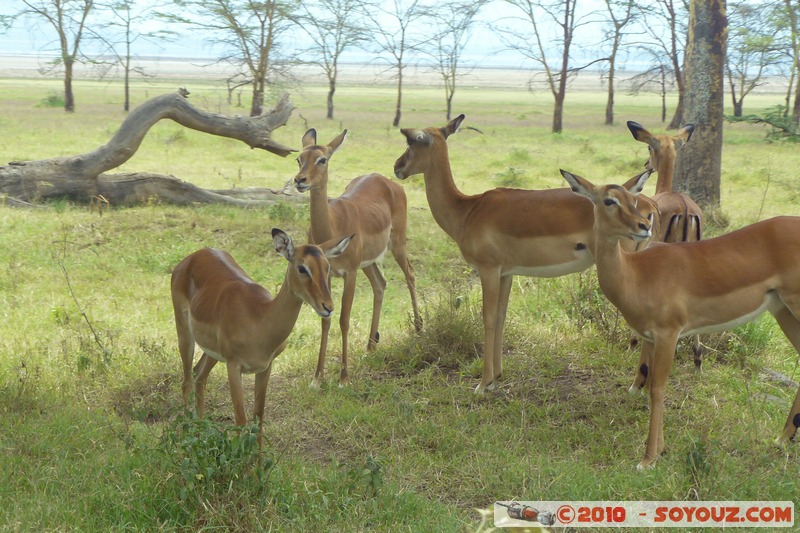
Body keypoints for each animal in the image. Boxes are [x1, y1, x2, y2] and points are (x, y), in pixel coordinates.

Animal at [171, 229, 352, 442]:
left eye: (327, 266)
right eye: (302, 268)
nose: (328, 307)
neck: (259, 320)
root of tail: (193, 256)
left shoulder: (265, 368)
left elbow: (258, 418)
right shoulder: (234, 367)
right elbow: (241, 420)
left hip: (212, 352)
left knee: (199, 377)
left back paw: (200, 435)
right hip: (184, 334)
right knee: (186, 382)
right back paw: (185, 436)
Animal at [294, 128, 422, 389]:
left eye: (322, 159)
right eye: (298, 158)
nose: (300, 180)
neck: (332, 226)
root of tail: (389, 182)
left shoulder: (350, 273)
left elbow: (344, 319)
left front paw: (343, 378)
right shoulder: (326, 274)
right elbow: (325, 320)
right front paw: (317, 378)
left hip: (397, 245)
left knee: (410, 274)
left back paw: (418, 328)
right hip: (369, 262)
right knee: (380, 284)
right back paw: (371, 345)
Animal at [393, 114, 653, 393]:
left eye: (412, 142)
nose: (398, 166)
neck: (467, 210)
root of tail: (648, 210)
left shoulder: (488, 270)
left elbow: (488, 318)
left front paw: (482, 384)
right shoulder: (506, 273)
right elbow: (501, 317)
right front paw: (496, 377)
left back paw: (637, 386)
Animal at [561, 168, 800, 470]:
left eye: (633, 198)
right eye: (609, 200)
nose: (643, 226)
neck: (636, 274)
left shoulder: (668, 335)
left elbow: (657, 389)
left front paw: (648, 458)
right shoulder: (652, 338)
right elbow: (650, 382)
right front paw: (660, 450)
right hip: (783, 311)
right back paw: (781, 439)